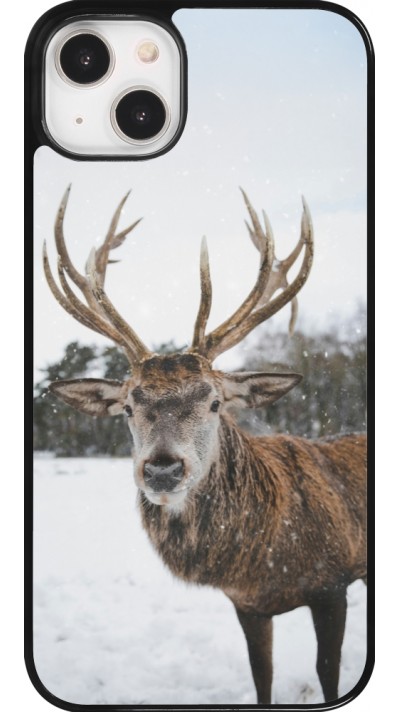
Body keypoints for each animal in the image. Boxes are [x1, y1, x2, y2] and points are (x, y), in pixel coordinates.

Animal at [42, 186, 367, 704]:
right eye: (128, 407)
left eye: (214, 402)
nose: (162, 469)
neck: (265, 559)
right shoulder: (247, 604)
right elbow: (261, 676)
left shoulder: (333, 582)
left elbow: (328, 673)